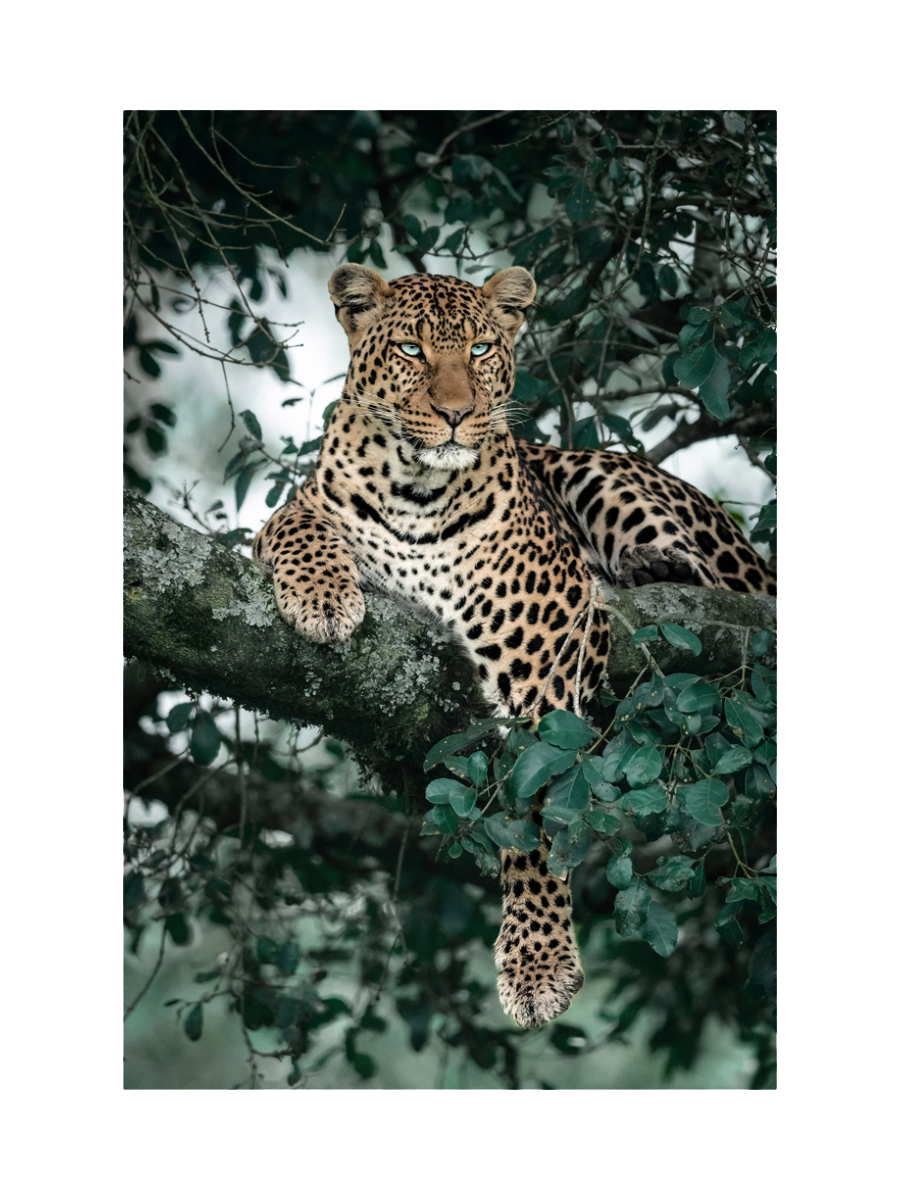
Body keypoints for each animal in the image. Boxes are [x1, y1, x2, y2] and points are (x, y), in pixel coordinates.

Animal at [253, 265, 776, 1030]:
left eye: (478, 349)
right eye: (410, 349)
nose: (454, 413)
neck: (416, 491)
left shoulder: (545, 657)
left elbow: (536, 815)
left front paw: (538, 963)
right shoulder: (297, 511)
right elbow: (298, 525)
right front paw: (323, 599)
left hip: (607, 481)